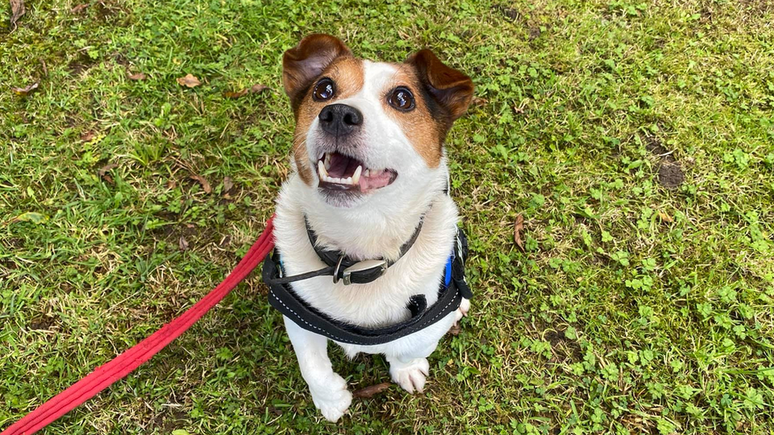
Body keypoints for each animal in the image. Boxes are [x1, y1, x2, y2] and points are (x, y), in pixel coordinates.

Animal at [276, 34, 476, 422]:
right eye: (324, 89)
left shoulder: (427, 323)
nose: (338, 114)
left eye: (402, 98)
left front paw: (407, 369)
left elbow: (412, 345)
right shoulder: (295, 309)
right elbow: (311, 364)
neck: (358, 253)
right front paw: (331, 399)